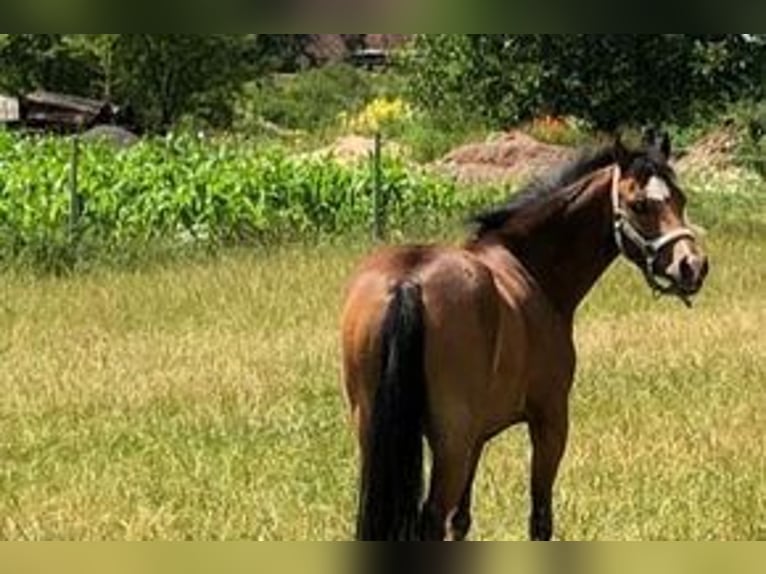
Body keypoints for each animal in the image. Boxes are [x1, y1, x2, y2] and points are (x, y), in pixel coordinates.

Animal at [340, 130, 709, 541]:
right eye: (639, 204)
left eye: (680, 199)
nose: (692, 266)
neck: (530, 268)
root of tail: (409, 280)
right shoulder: (549, 420)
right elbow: (540, 519)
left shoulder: (477, 437)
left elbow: (461, 522)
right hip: (451, 442)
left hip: (377, 433)